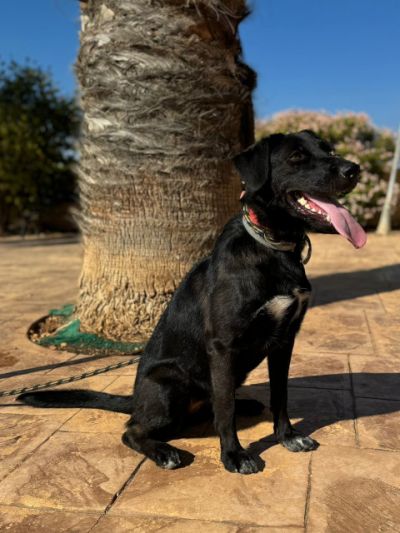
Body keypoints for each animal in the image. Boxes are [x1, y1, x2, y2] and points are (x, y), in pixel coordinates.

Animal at [19, 130, 366, 474]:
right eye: (297, 157)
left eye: (328, 150)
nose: (354, 169)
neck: (273, 248)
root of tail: (135, 399)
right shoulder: (223, 346)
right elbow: (225, 411)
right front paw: (233, 455)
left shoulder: (284, 341)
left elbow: (280, 396)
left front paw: (288, 436)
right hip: (170, 385)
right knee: (134, 430)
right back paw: (163, 451)